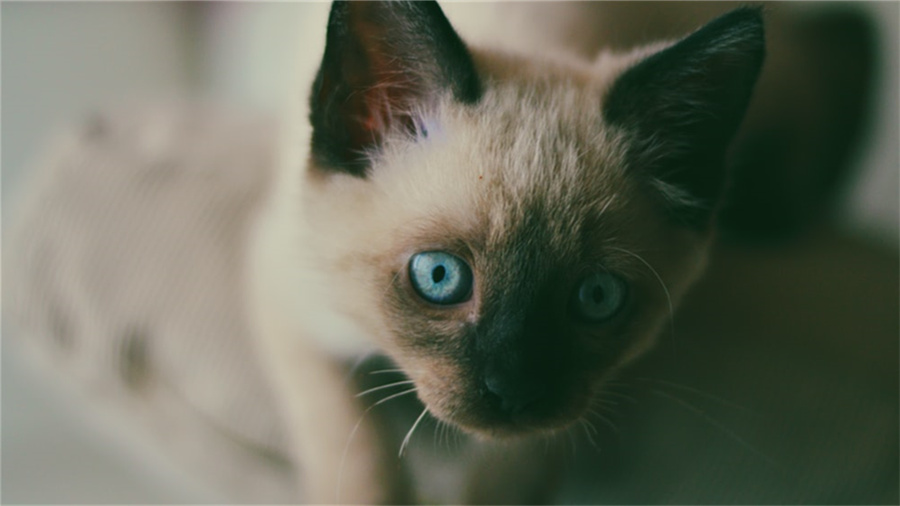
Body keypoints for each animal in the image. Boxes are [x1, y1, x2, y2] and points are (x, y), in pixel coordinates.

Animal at [248, 1, 768, 504]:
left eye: (597, 297)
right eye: (439, 276)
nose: (514, 391)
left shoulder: (558, 416)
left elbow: (508, 477)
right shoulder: (287, 305)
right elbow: (358, 459)